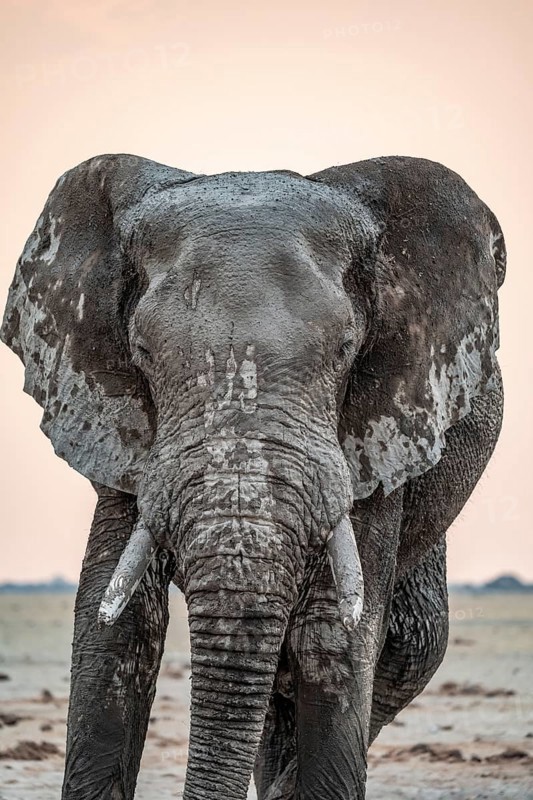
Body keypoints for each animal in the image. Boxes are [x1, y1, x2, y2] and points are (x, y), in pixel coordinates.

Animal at [1, 153, 505, 800]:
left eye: (346, 349)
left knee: (407, 646)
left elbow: (333, 634)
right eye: (141, 350)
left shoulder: (380, 422)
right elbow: (116, 623)